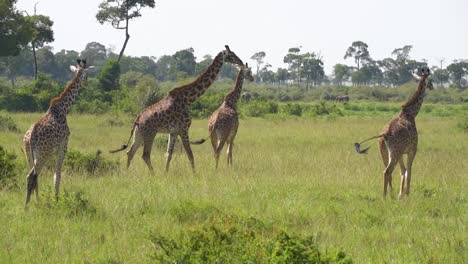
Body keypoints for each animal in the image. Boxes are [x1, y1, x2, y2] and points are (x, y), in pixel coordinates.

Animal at [22, 60, 93, 206]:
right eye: (87, 75)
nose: (88, 84)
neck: (64, 108)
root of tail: (30, 137)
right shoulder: (63, 147)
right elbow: (57, 175)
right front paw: (57, 200)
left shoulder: (54, 151)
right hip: (42, 155)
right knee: (32, 176)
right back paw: (28, 205)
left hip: (29, 155)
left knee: (32, 176)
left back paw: (33, 203)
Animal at [109, 45, 241, 173]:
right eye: (231, 55)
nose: (240, 62)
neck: (189, 98)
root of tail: (137, 119)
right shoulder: (184, 129)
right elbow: (190, 154)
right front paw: (195, 174)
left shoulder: (173, 131)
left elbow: (169, 154)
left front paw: (166, 173)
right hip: (150, 133)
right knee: (145, 155)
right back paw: (153, 174)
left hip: (139, 133)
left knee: (130, 152)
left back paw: (127, 173)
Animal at [354, 67, 436, 199]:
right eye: (430, 80)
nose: (432, 87)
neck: (411, 113)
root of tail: (384, 135)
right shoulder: (412, 149)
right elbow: (409, 171)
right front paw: (406, 195)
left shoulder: (402, 152)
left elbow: (403, 171)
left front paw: (400, 195)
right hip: (394, 152)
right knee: (388, 171)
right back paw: (385, 196)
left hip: (384, 151)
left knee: (387, 171)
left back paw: (390, 194)